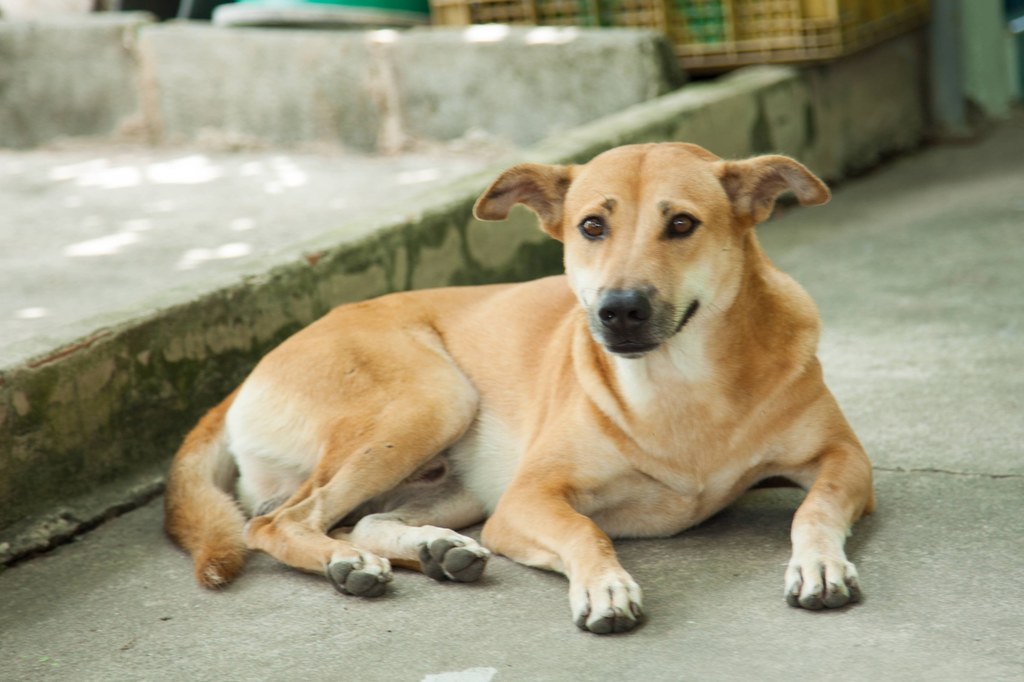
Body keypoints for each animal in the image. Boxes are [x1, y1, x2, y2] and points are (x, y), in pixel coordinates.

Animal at [165, 142, 872, 630]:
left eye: (681, 225)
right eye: (592, 226)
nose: (619, 310)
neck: (681, 382)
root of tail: (247, 375)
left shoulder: (846, 460)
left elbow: (814, 508)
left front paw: (819, 563)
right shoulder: (528, 499)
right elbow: (587, 531)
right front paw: (604, 586)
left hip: (453, 478)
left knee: (359, 521)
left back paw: (433, 548)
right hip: (434, 399)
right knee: (278, 521)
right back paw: (350, 563)